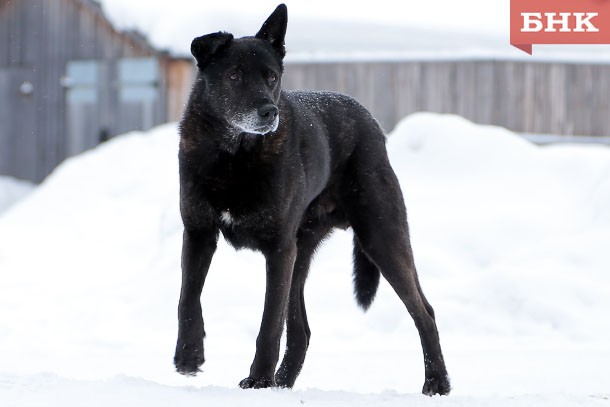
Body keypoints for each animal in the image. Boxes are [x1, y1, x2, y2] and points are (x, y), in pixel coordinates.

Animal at [173, 4, 448, 396]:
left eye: (271, 77)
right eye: (234, 76)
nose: (268, 112)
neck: (234, 156)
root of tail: (370, 121)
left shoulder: (278, 250)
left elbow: (269, 324)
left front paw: (258, 380)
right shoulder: (198, 234)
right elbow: (188, 299)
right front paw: (189, 355)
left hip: (379, 237)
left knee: (424, 311)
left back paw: (437, 382)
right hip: (302, 253)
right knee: (301, 332)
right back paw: (282, 384)